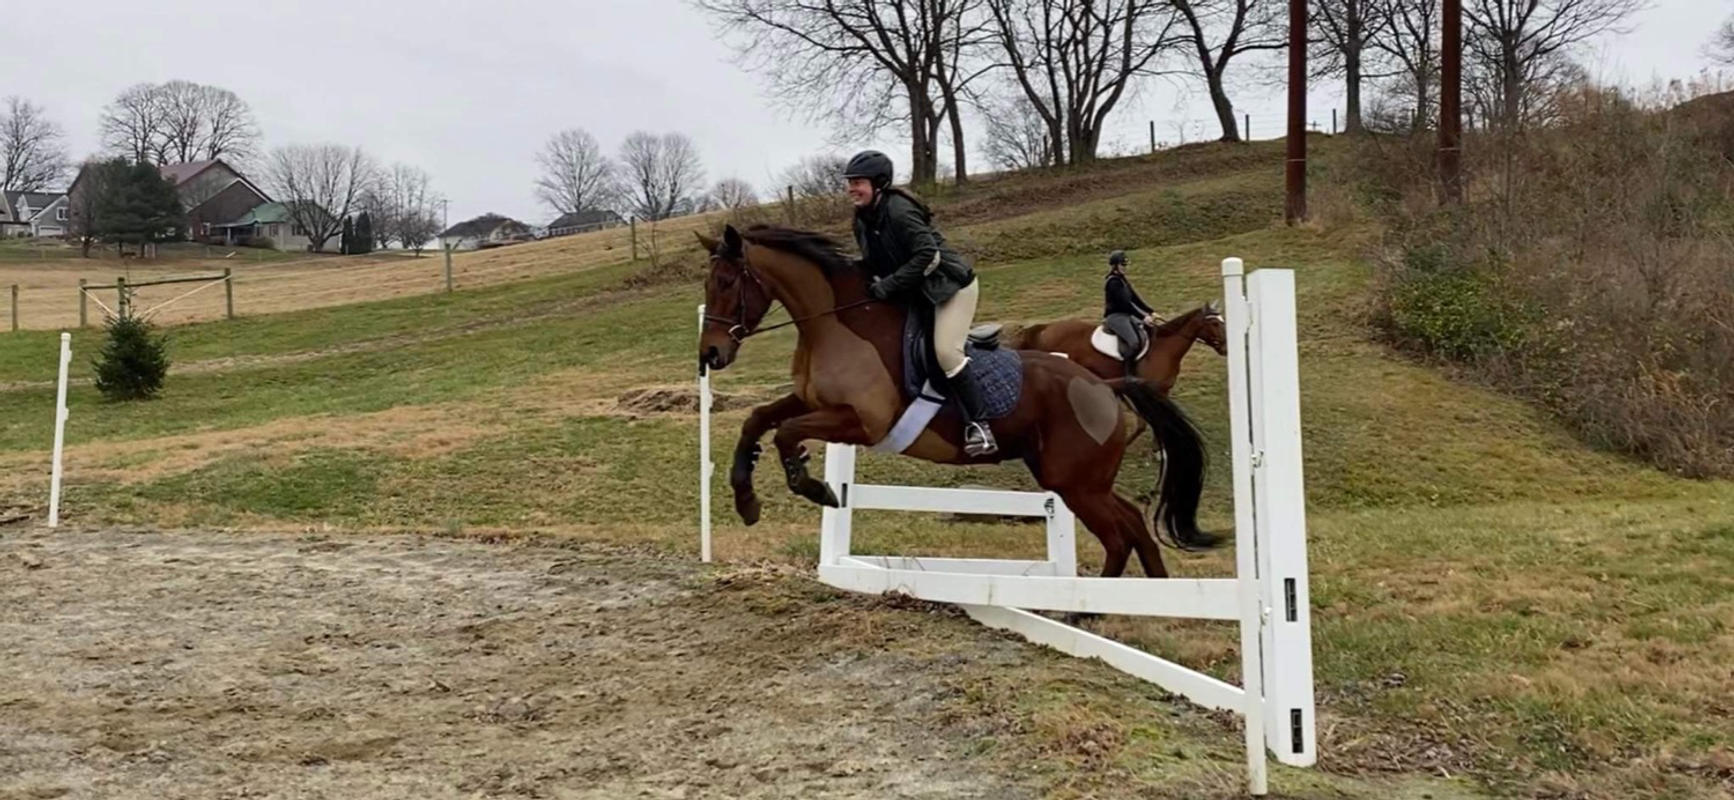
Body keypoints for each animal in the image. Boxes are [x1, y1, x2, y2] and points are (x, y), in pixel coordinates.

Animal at [690, 221, 1220, 576]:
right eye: (708, 284)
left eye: (727, 283)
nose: (710, 354)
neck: (834, 324)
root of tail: (1106, 387)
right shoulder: (811, 401)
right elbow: (758, 420)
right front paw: (746, 500)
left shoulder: (863, 423)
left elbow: (785, 432)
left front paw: (812, 484)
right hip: (1081, 480)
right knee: (1132, 524)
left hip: (1076, 484)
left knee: (1117, 536)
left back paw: (1085, 614)